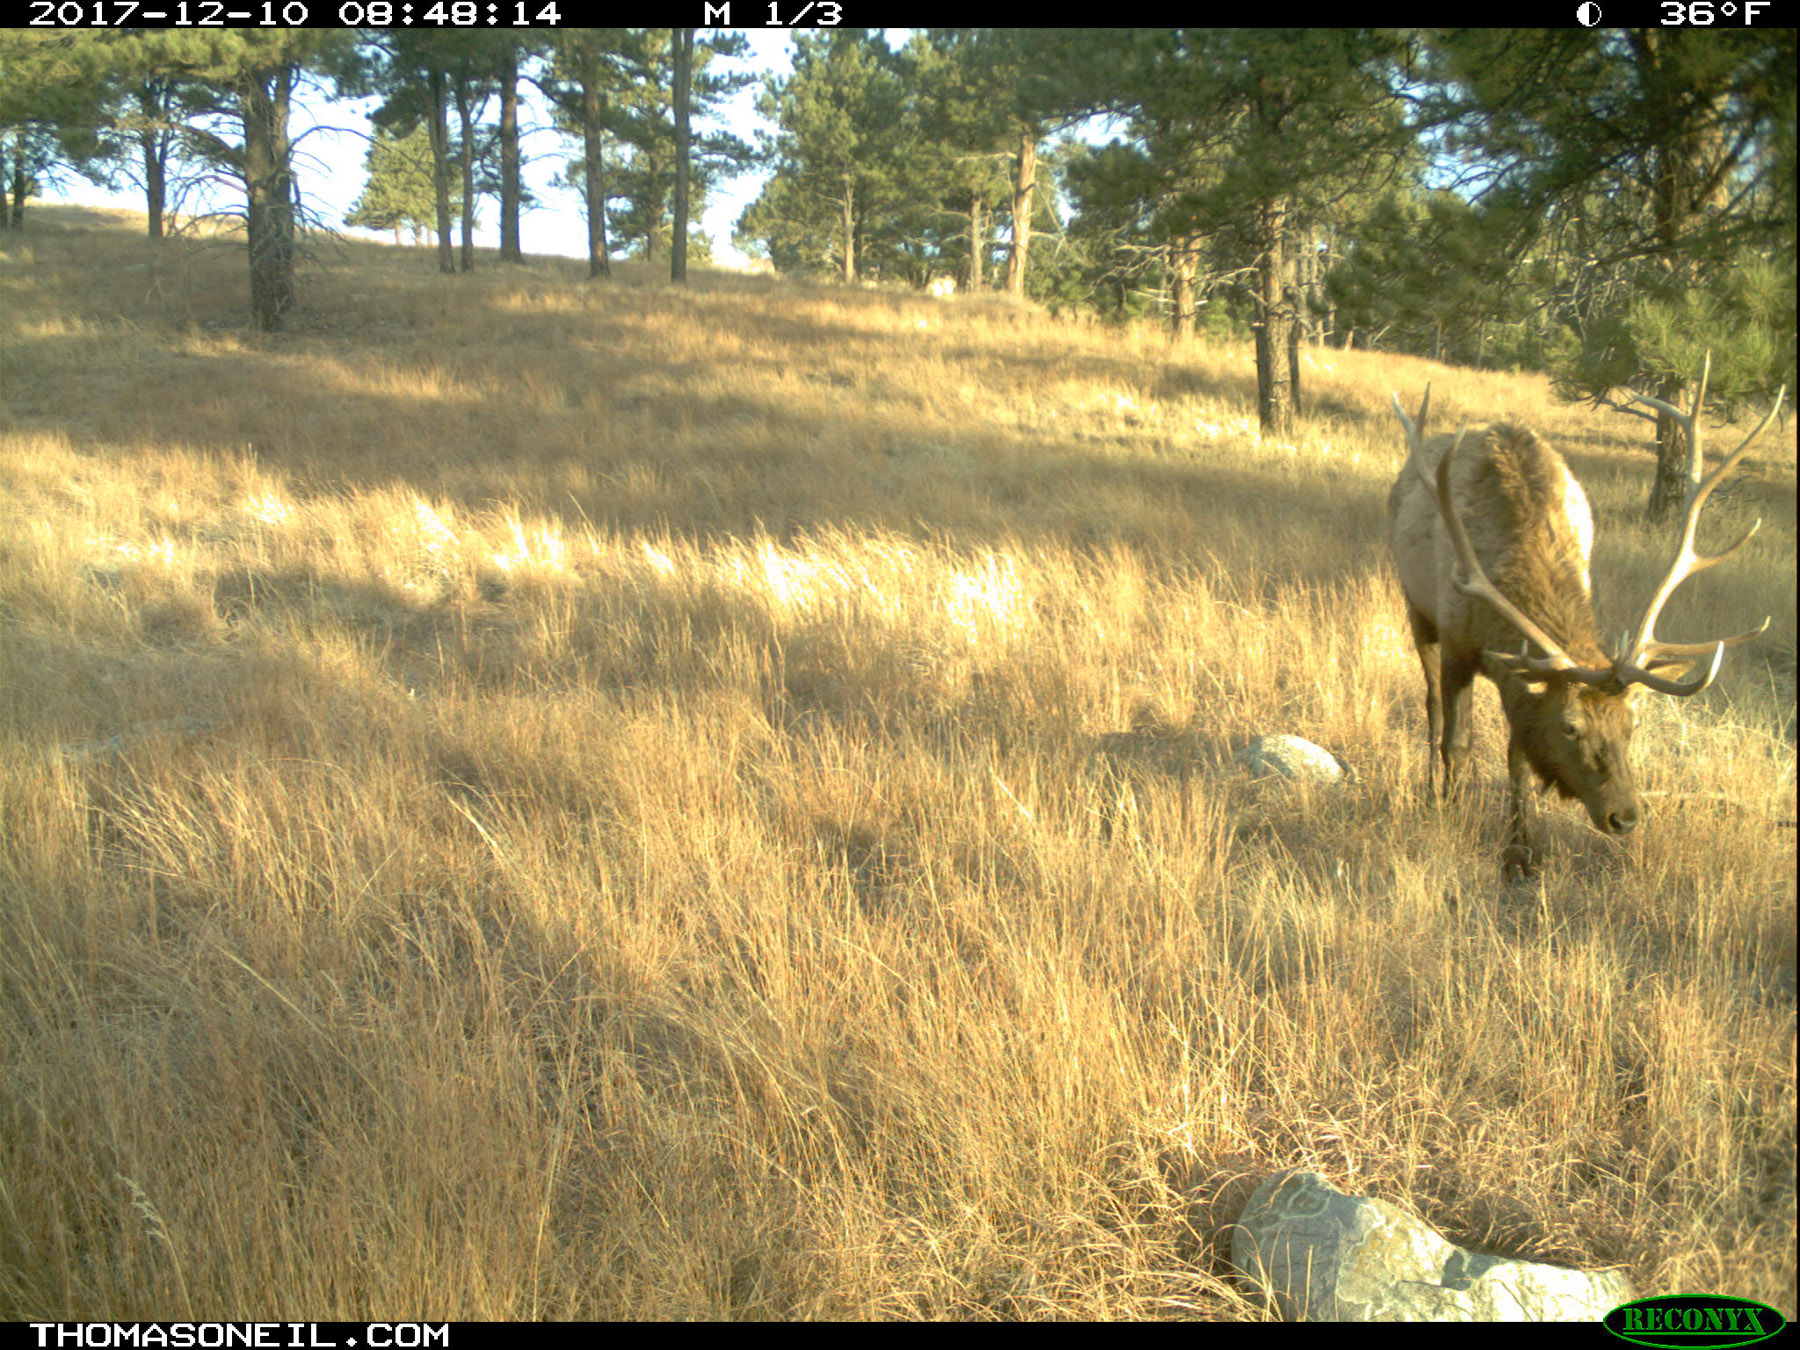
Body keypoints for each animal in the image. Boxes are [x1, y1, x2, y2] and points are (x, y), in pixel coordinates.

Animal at [1382, 370, 1778, 878]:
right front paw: (1448, 813)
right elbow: (1459, 741)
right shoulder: (1458, 642)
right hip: (1416, 607)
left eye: (1633, 723)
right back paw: (1432, 788)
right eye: (1570, 727)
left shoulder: (1518, 681)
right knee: (1431, 704)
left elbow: (1518, 758)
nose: (1624, 816)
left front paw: (1522, 850)